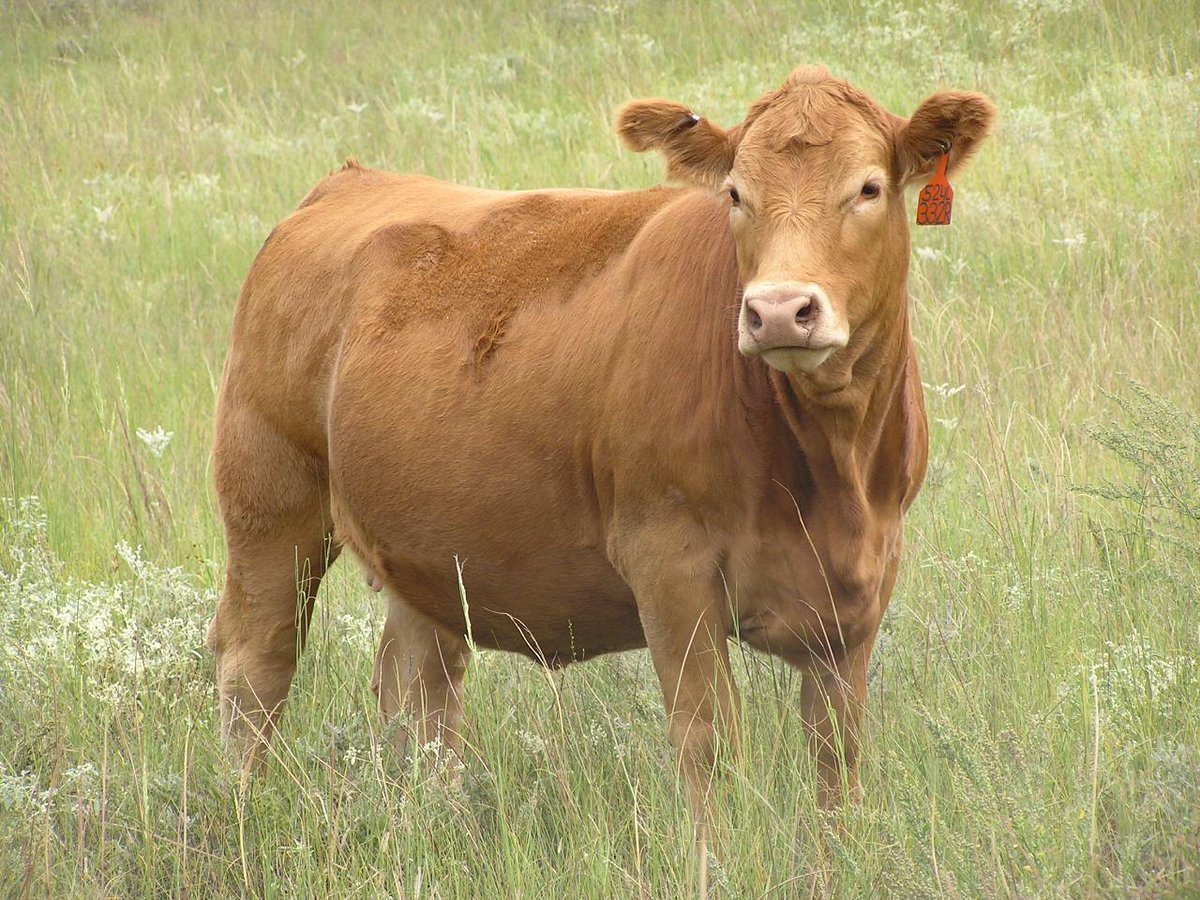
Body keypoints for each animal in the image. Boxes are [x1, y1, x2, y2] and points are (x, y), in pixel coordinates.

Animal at [208, 65, 995, 887]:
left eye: (869, 188)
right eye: (736, 193)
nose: (779, 311)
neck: (827, 465)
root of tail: (348, 181)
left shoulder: (864, 583)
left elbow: (837, 756)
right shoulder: (669, 565)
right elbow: (710, 740)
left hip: (419, 551)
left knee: (419, 689)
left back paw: (428, 829)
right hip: (269, 501)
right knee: (256, 667)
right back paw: (243, 820)